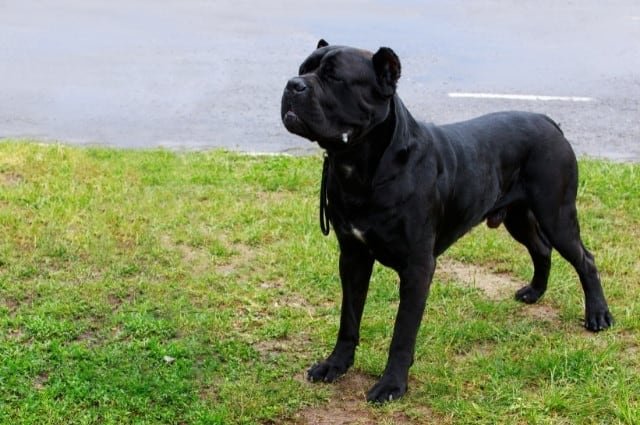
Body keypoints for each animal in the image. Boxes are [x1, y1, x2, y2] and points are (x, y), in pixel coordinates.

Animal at [278, 39, 608, 400]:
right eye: (302, 69)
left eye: (334, 77)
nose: (293, 84)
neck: (360, 167)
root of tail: (548, 121)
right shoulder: (352, 256)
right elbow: (348, 318)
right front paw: (335, 365)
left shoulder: (417, 267)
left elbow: (402, 333)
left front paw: (392, 385)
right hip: (518, 217)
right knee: (541, 248)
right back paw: (535, 292)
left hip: (556, 214)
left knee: (585, 259)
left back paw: (598, 315)